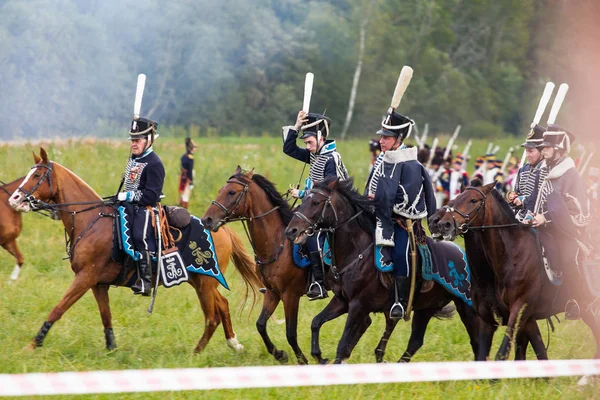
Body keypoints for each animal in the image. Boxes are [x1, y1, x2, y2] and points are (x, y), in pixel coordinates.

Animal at [6, 149, 260, 354]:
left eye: (37, 176)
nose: (14, 199)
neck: (91, 220)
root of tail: (222, 229)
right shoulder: (98, 283)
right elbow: (106, 316)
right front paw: (111, 349)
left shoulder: (85, 278)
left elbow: (58, 309)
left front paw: (33, 344)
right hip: (201, 281)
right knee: (223, 305)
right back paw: (234, 343)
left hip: (205, 282)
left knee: (212, 316)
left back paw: (197, 352)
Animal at [204, 167, 312, 364]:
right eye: (221, 190)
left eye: (232, 192)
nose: (207, 219)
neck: (277, 243)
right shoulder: (272, 292)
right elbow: (260, 324)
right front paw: (279, 354)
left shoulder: (290, 296)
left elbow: (291, 333)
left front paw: (302, 360)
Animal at [284, 177, 480, 364]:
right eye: (304, 200)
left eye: (316, 202)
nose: (291, 230)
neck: (356, 251)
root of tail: (462, 253)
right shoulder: (342, 301)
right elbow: (316, 322)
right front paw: (319, 356)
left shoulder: (358, 306)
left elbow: (343, 345)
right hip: (425, 308)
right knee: (415, 341)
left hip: (466, 307)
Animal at [432, 183, 600, 360]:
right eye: (454, 200)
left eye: (473, 200)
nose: (444, 224)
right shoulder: (496, 321)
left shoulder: (520, 309)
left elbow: (503, 354)